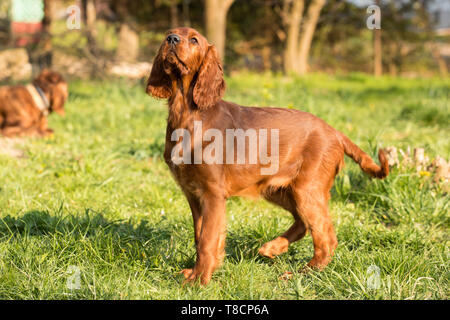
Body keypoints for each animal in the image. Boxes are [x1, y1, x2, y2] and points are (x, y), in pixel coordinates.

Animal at [146, 27, 388, 284]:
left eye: (194, 39)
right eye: (169, 34)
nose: (171, 40)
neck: (188, 114)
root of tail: (335, 132)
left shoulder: (212, 193)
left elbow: (207, 240)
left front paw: (199, 280)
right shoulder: (193, 194)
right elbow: (199, 236)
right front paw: (195, 272)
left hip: (307, 189)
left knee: (326, 238)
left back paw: (302, 273)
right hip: (278, 189)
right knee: (303, 224)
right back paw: (273, 248)